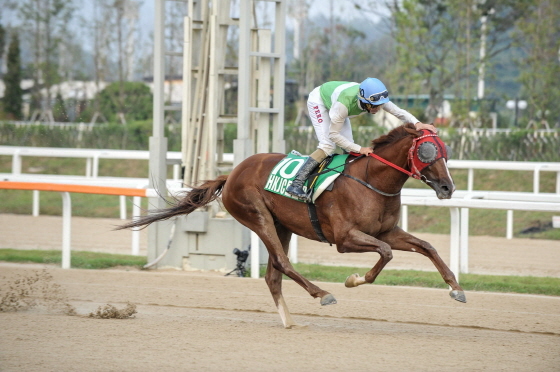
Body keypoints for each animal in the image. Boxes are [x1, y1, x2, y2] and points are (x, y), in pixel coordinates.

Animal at [118, 123, 464, 326]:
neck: (371, 180)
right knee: (283, 263)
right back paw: (322, 294)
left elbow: (426, 246)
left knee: (273, 274)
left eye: (445, 152)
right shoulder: (345, 239)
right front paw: (354, 280)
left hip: (282, 225)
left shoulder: (387, 231)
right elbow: (385, 254)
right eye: (428, 151)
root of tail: (231, 173)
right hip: (257, 217)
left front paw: (456, 289)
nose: (448, 188)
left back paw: (288, 320)